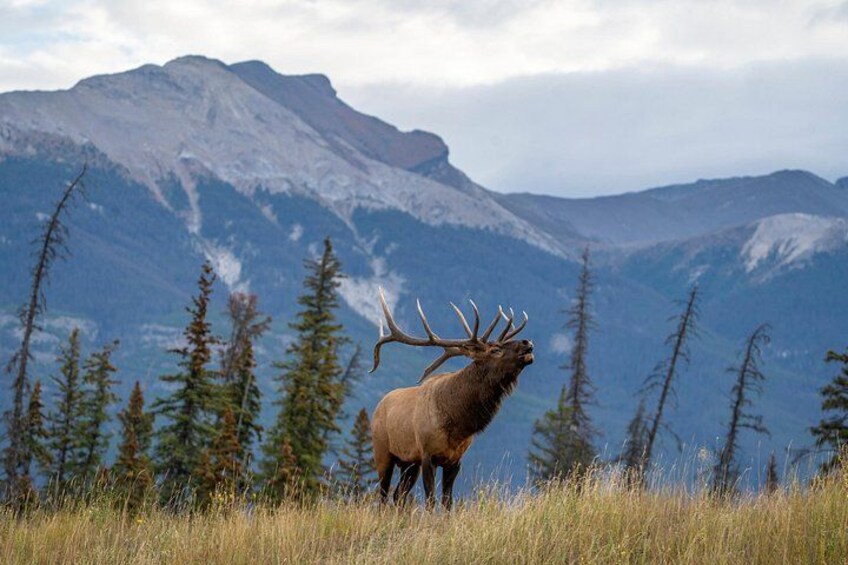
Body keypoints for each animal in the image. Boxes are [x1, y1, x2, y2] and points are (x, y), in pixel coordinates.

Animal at [369, 289, 534, 510]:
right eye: (495, 350)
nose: (527, 342)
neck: (457, 424)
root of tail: (378, 406)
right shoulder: (428, 455)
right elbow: (431, 500)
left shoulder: (454, 460)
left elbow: (448, 502)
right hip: (383, 453)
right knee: (383, 496)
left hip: (409, 463)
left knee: (399, 496)